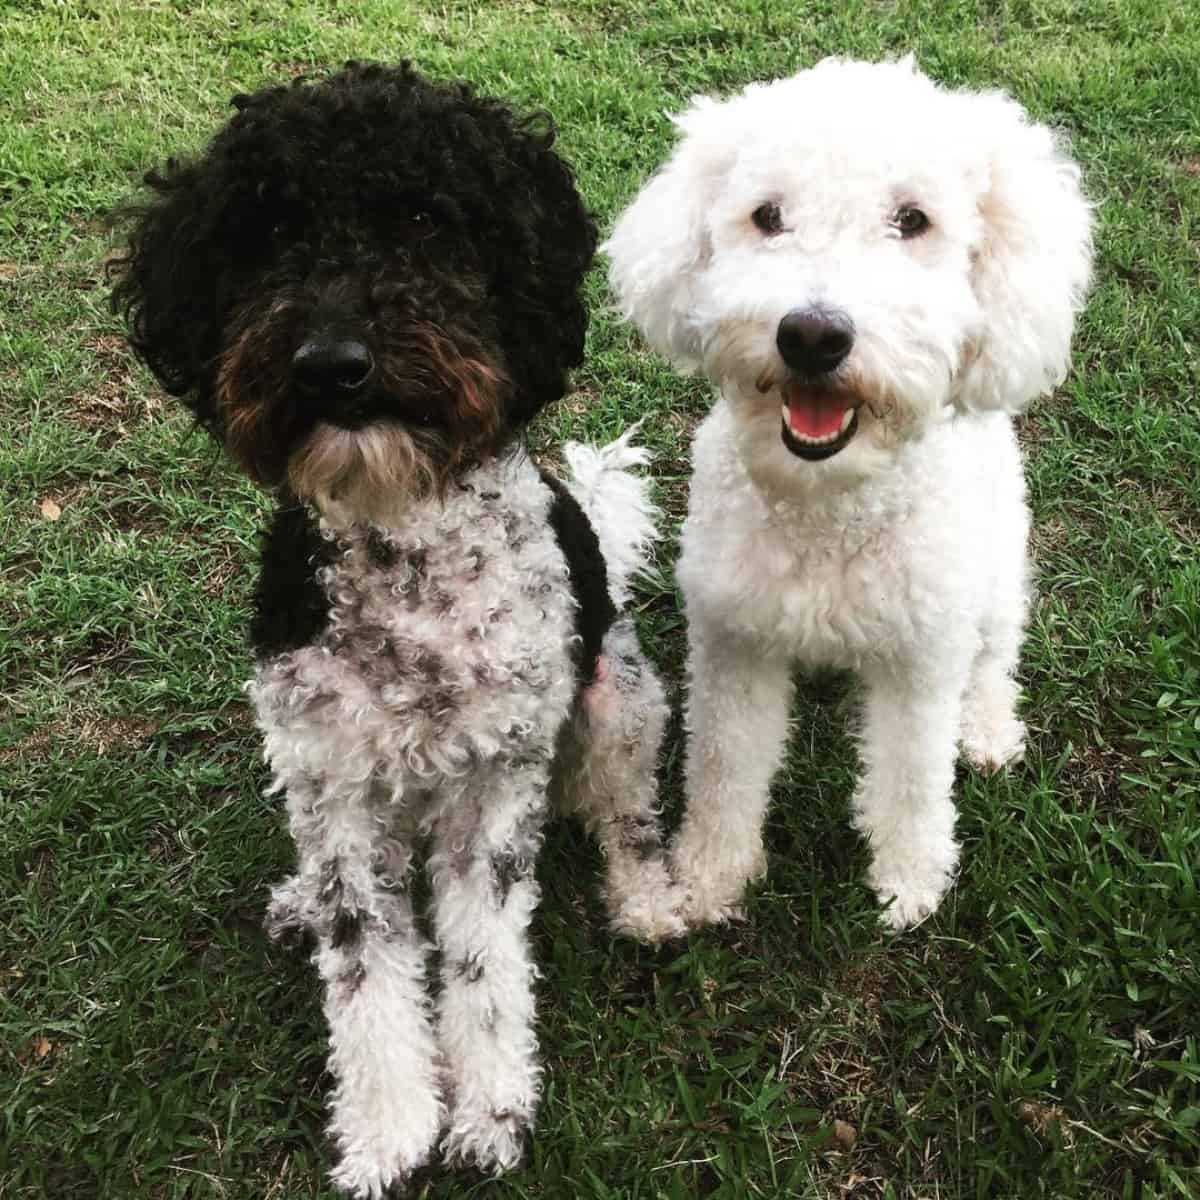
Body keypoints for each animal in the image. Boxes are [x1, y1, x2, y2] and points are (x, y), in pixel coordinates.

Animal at [604, 56, 1094, 926]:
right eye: (767, 215)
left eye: (913, 220)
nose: (812, 335)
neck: (828, 504)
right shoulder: (736, 644)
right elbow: (725, 768)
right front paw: (711, 876)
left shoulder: (922, 659)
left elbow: (911, 778)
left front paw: (910, 881)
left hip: (997, 572)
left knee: (996, 654)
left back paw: (988, 730)